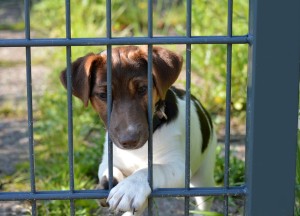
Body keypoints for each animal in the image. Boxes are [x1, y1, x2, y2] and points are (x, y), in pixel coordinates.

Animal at [59, 45, 217, 214]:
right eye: (103, 95)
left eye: (143, 89)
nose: (129, 141)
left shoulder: (180, 167)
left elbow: (152, 168)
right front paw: (106, 185)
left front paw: (129, 187)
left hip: (205, 176)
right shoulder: (109, 159)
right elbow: (109, 172)